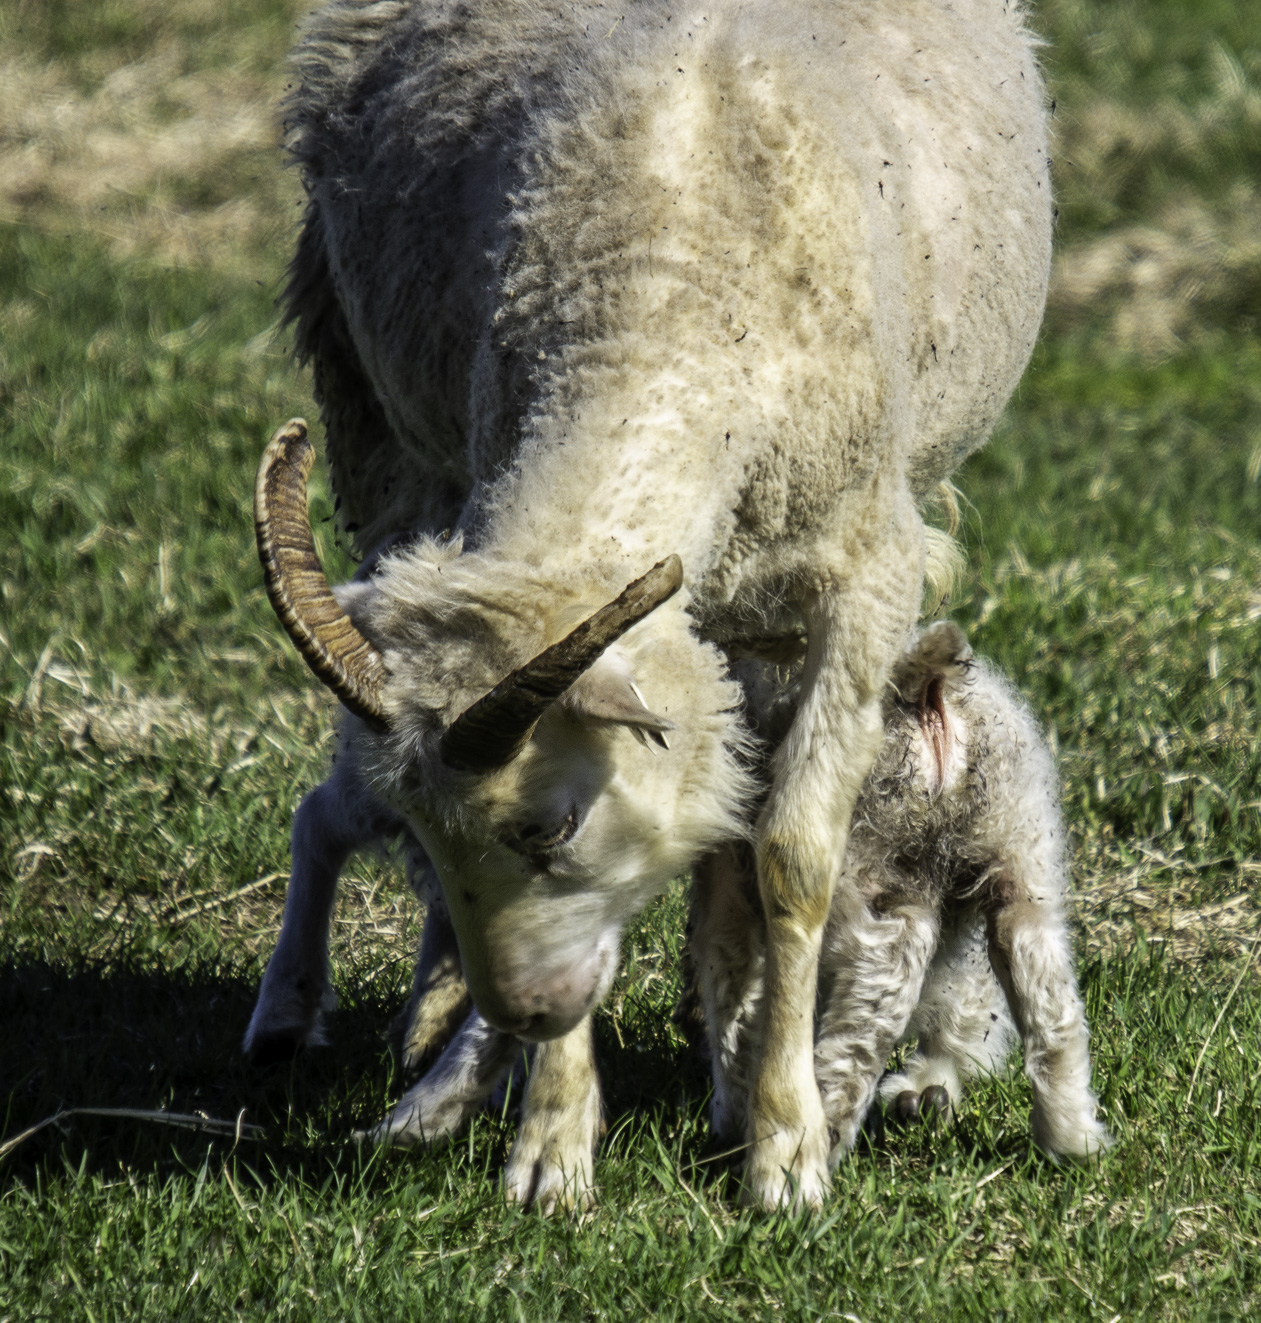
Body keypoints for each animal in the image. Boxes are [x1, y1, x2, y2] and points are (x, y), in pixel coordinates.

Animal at [243, 0, 1053, 1211]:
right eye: (426, 828)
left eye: (549, 824)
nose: (525, 1008)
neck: (660, 300)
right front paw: (551, 1139)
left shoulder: (862, 580)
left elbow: (790, 856)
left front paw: (782, 1142)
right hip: (373, 428)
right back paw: (397, 1014)